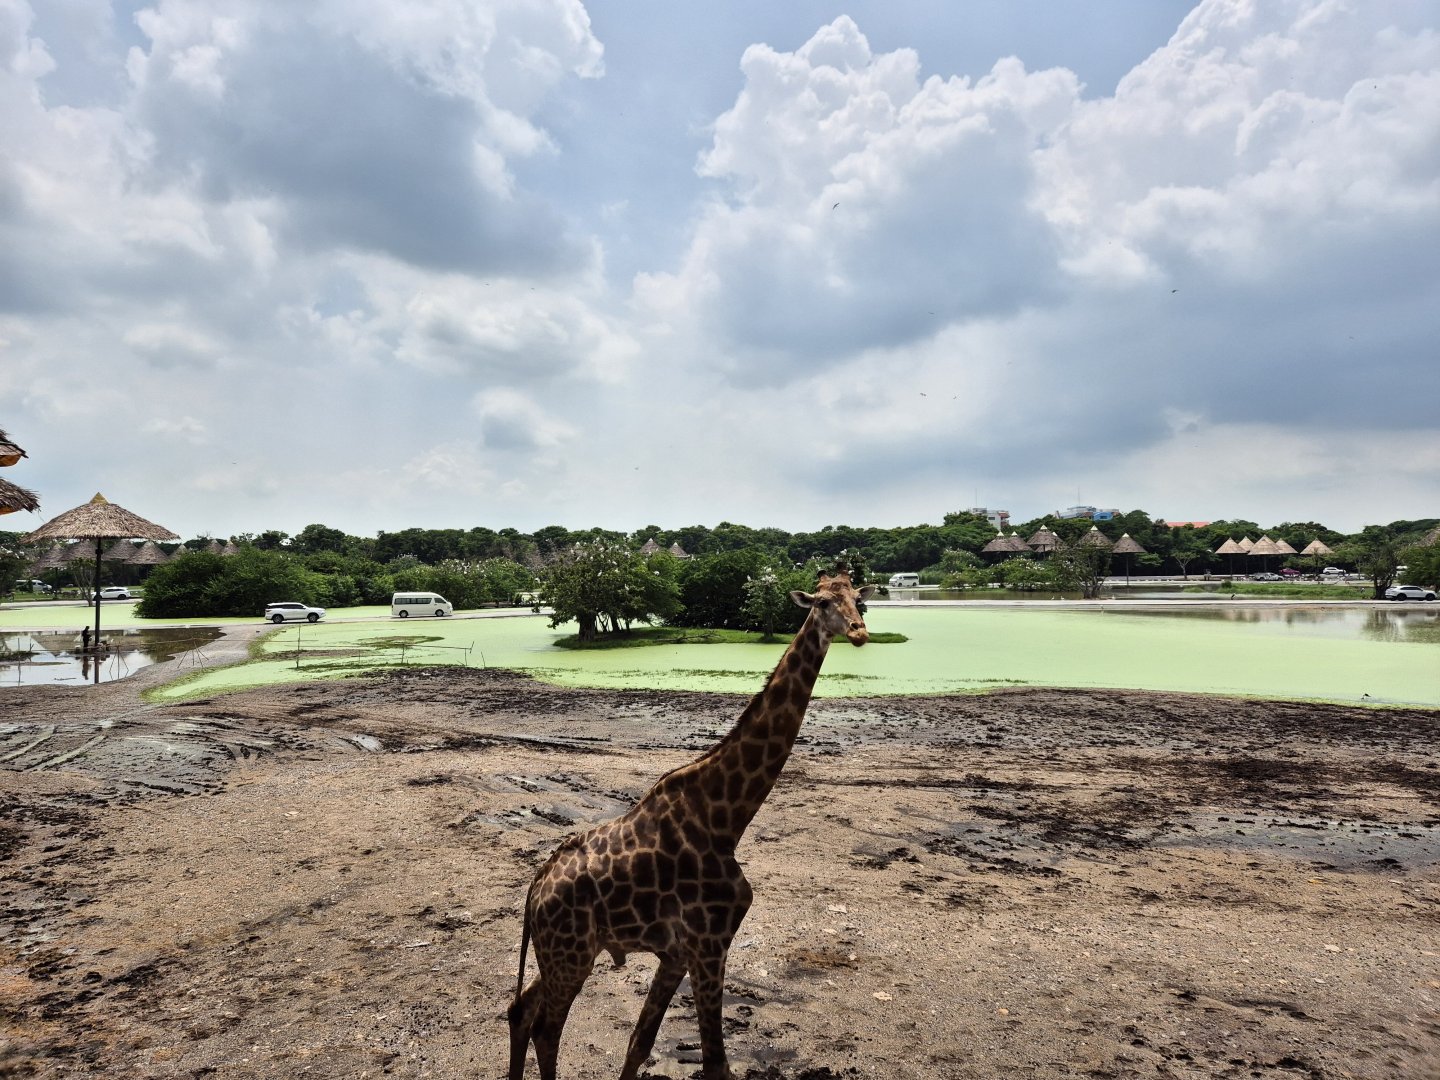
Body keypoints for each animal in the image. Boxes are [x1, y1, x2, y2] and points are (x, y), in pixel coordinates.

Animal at [507, 572, 876, 1080]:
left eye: (859, 599)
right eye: (822, 602)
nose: (859, 632)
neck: (726, 819)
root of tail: (534, 891)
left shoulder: (677, 952)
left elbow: (639, 1043)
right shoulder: (709, 941)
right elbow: (716, 1063)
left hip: (562, 954)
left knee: (520, 1010)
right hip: (570, 953)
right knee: (545, 1027)